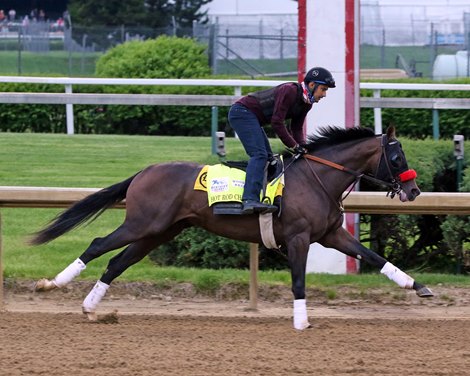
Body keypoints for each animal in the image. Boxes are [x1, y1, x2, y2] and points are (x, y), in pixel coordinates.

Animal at [31, 126, 432, 328]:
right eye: (397, 156)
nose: (414, 190)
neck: (318, 178)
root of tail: (145, 171)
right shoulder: (299, 237)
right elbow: (299, 280)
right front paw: (301, 321)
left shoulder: (331, 234)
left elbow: (374, 257)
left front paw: (419, 287)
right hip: (143, 224)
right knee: (99, 244)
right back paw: (49, 284)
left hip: (159, 232)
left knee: (117, 263)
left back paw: (91, 308)